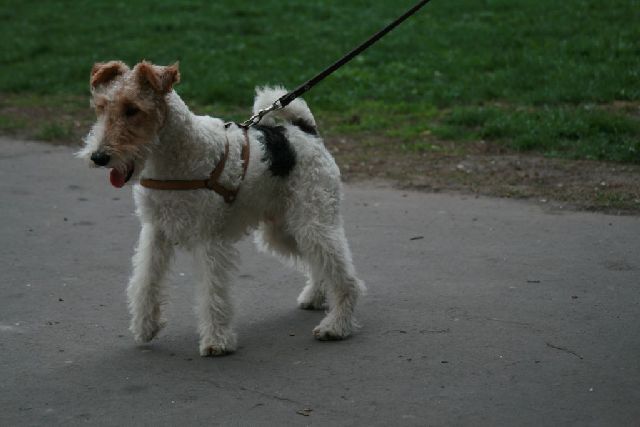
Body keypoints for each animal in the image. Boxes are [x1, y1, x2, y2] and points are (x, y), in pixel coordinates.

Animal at [77, 59, 364, 354]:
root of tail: (304, 131)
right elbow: (145, 281)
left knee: (346, 277)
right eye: (101, 107)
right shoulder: (155, 231)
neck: (177, 156)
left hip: (312, 220)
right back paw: (315, 297)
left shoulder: (209, 240)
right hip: (283, 229)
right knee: (319, 263)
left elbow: (212, 293)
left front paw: (216, 341)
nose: (98, 157)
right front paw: (145, 327)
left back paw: (336, 326)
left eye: (133, 109)